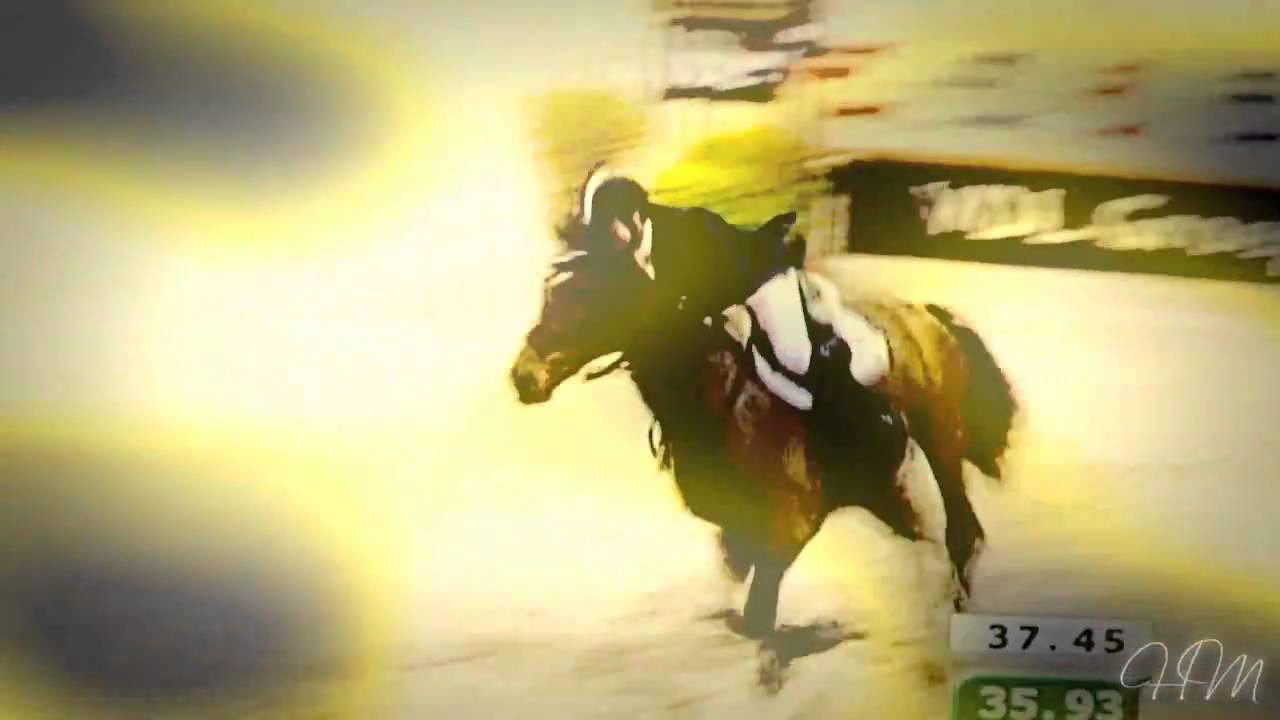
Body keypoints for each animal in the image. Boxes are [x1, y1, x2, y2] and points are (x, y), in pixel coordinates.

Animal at [509, 215, 1017, 688]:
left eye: (590, 294)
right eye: (550, 294)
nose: (523, 377)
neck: (719, 390)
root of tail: (926, 314)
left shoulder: (796, 520)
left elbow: (758, 610)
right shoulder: (749, 519)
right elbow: (739, 579)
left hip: (942, 441)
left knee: (960, 531)